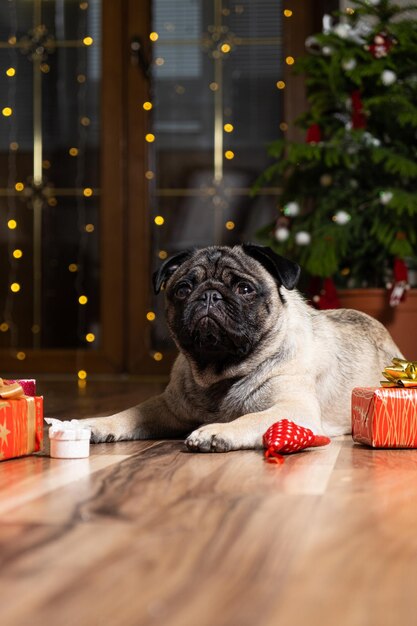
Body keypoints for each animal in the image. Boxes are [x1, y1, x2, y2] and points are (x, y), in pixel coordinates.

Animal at [85, 241, 404, 450]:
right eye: (184, 289)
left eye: (245, 289)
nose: (209, 295)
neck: (220, 372)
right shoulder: (168, 407)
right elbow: (131, 412)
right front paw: (98, 423)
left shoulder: (294, 409)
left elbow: (251, 417)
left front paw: (215, 432)